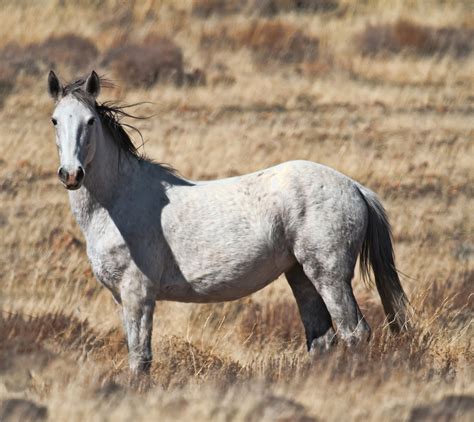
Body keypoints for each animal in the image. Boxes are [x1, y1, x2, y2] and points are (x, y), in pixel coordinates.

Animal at [49, 71, 412, 374]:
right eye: (54, 120)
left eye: (90, 121)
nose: (71, 174)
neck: (117, 202)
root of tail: (355, 187)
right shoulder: (121, 297)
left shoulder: (138, 293)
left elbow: (140, 358)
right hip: (301, 276)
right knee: (322, 340)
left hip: (330, 276)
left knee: (355, 333)